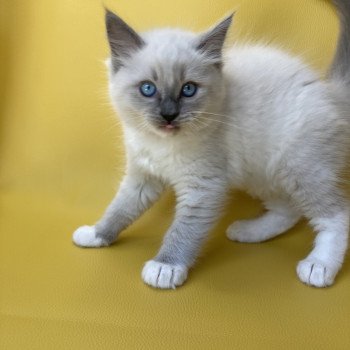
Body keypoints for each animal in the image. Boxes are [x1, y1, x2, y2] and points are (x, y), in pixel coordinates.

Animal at [72, 0, 350, 288]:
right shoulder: (143, 177)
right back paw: (247, 231)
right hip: (263, 173)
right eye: (148, 89)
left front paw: (165, 268)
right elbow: (120, 209)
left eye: (188, 89)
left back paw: (319, 266)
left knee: (337, 213)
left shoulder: (203, 187)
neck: (161, 144)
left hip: (299, 169)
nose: (169, 115)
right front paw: (96, 234)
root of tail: (330, 91)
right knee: (289, 209)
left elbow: (183, 230)